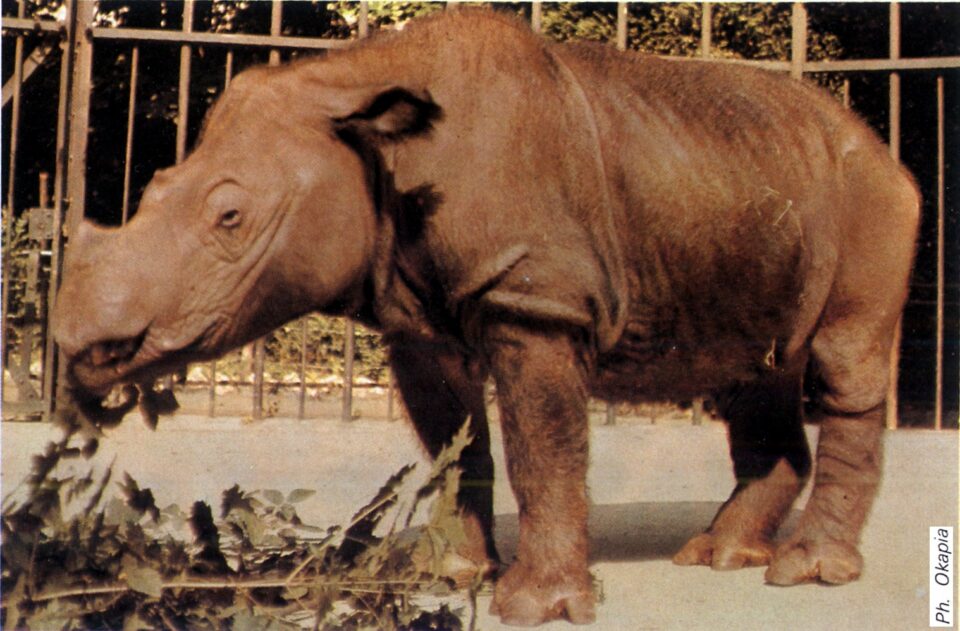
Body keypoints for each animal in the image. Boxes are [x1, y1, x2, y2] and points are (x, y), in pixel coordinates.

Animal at [53, 9, 920, 626]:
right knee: (756, 372)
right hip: (749, 184)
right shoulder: (414, 318)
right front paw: (446, 574)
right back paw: (718, 555)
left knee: (844, 357)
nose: (80, 346)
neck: (362, 117)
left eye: (230, 216)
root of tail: (884, 147)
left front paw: (536, 607)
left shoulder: (534, 300)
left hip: (871, 196)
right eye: (155, 188)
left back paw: (804, 572)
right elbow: (453, 444)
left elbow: (543, 447)